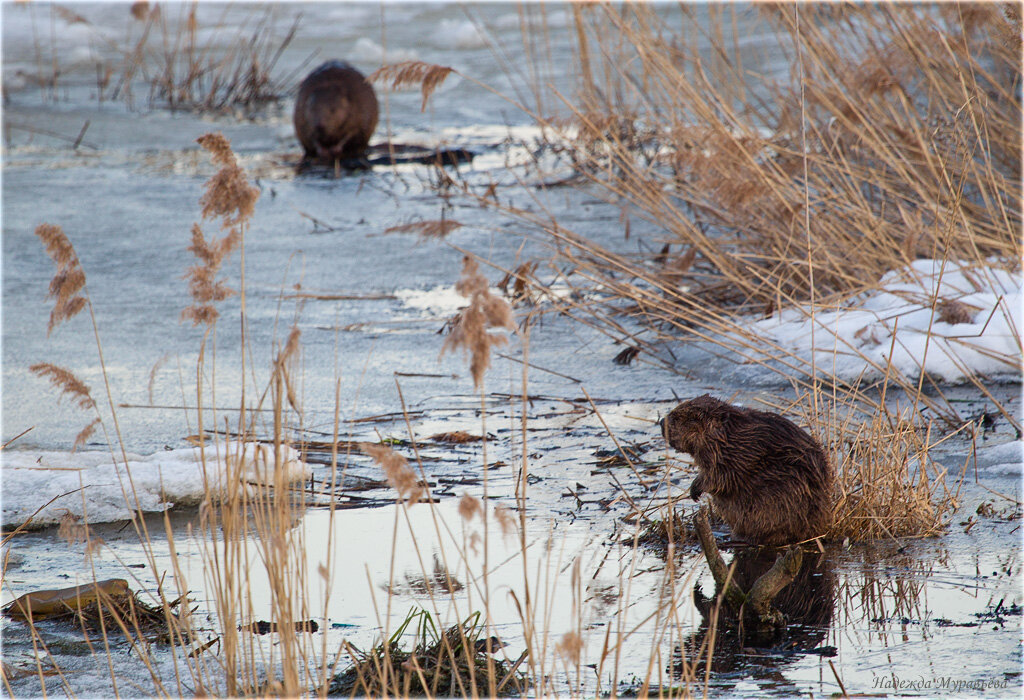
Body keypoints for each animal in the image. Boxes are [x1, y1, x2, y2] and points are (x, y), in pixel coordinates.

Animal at [663, 392, 831, 548]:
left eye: (682, 418)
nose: (661, 422)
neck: (728, 435)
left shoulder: (737, 456)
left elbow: (721, 478)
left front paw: (695, 490)